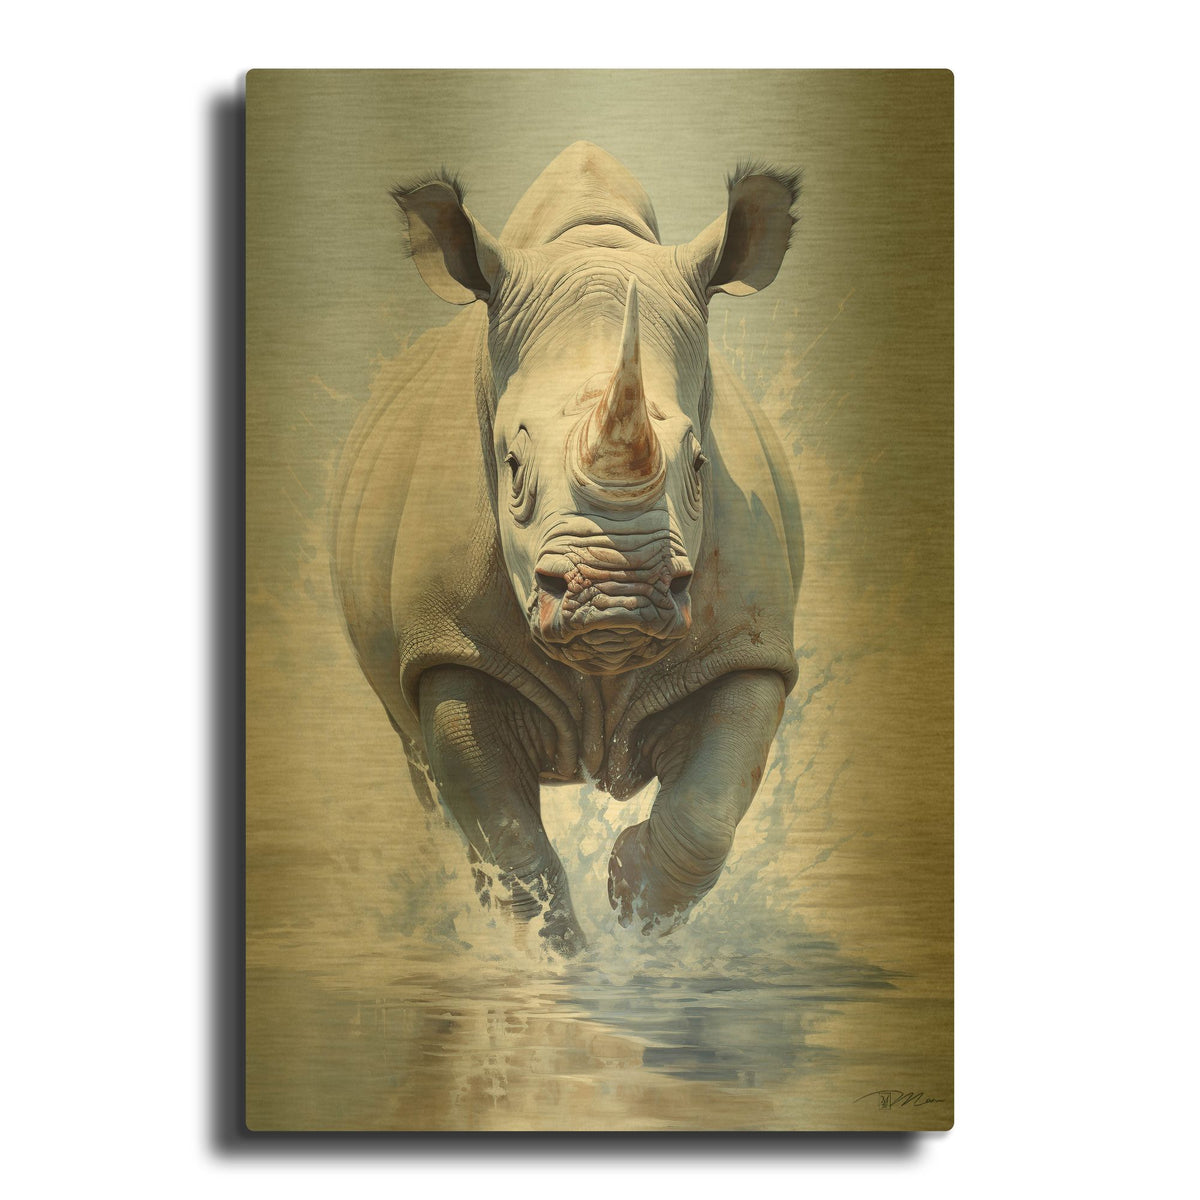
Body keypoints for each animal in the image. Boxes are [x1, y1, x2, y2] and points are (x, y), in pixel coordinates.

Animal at [332, 142, 803, 956]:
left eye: (700, 466)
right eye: (512, 468)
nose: (616, 597)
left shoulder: (748, 645)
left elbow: (708, 812)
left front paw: (635, 912)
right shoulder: (449, 645)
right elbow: (507, 836)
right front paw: (553, 965)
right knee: (425, 771)